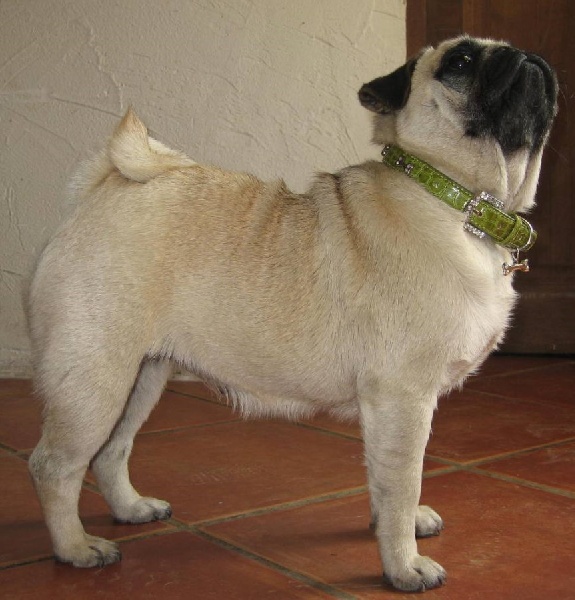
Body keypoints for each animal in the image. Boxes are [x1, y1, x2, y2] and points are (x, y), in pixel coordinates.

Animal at [28, 36, 557, 592]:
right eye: (460, 61)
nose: (526, 56)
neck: (455, 199)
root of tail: (104, 189)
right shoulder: (404, 398)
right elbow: (402, 483)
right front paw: (403, 564)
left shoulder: (387, 410)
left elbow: (384, 479)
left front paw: (400, 530)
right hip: (94, 380)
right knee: (55, 466)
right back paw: (75, 548)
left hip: (141, 377)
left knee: (111, 451)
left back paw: (130, 509)